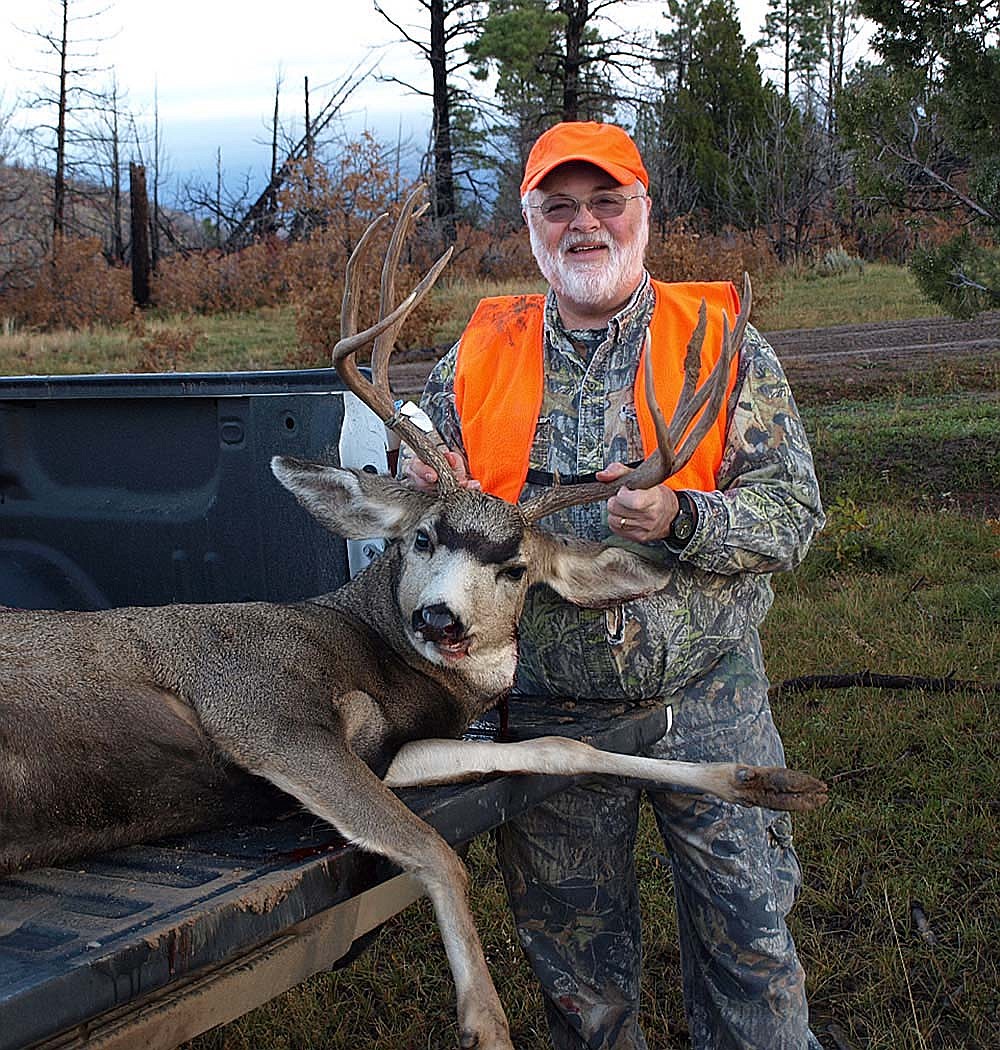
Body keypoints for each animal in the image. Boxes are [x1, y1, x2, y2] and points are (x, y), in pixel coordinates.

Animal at [0, 187, 827, 1050]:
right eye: (423, 536)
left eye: (516, 568)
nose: (440, 620)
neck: (368, 654)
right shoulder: (261, 709)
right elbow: (437, 849)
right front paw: (486, 1020)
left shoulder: (390, 750)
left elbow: (557, 748)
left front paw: (767, 781)